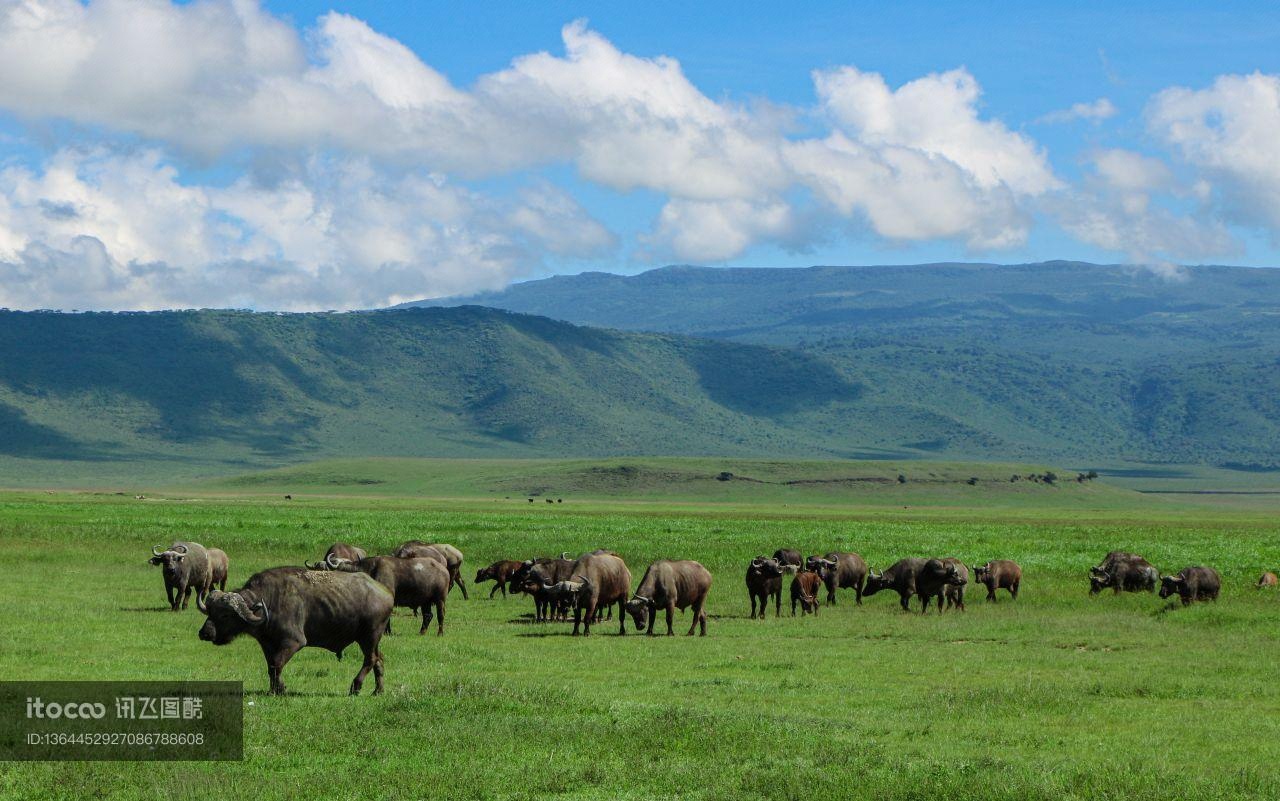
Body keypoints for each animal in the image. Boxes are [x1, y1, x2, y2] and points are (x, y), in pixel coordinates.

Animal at [194, 568, 391, 690]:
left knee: (370, 659)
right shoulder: (267, 644)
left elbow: (277, 664)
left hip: (369, 635)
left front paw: (281, 688)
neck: (270, 602)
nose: (204, 633)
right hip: (372, 640)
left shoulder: (293, 642)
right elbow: (271, 666)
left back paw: (355, 687)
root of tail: (385, 593)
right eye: (210, 612)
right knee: (379, 659)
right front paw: (273, 689)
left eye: (225, 615)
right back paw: (378, 690)